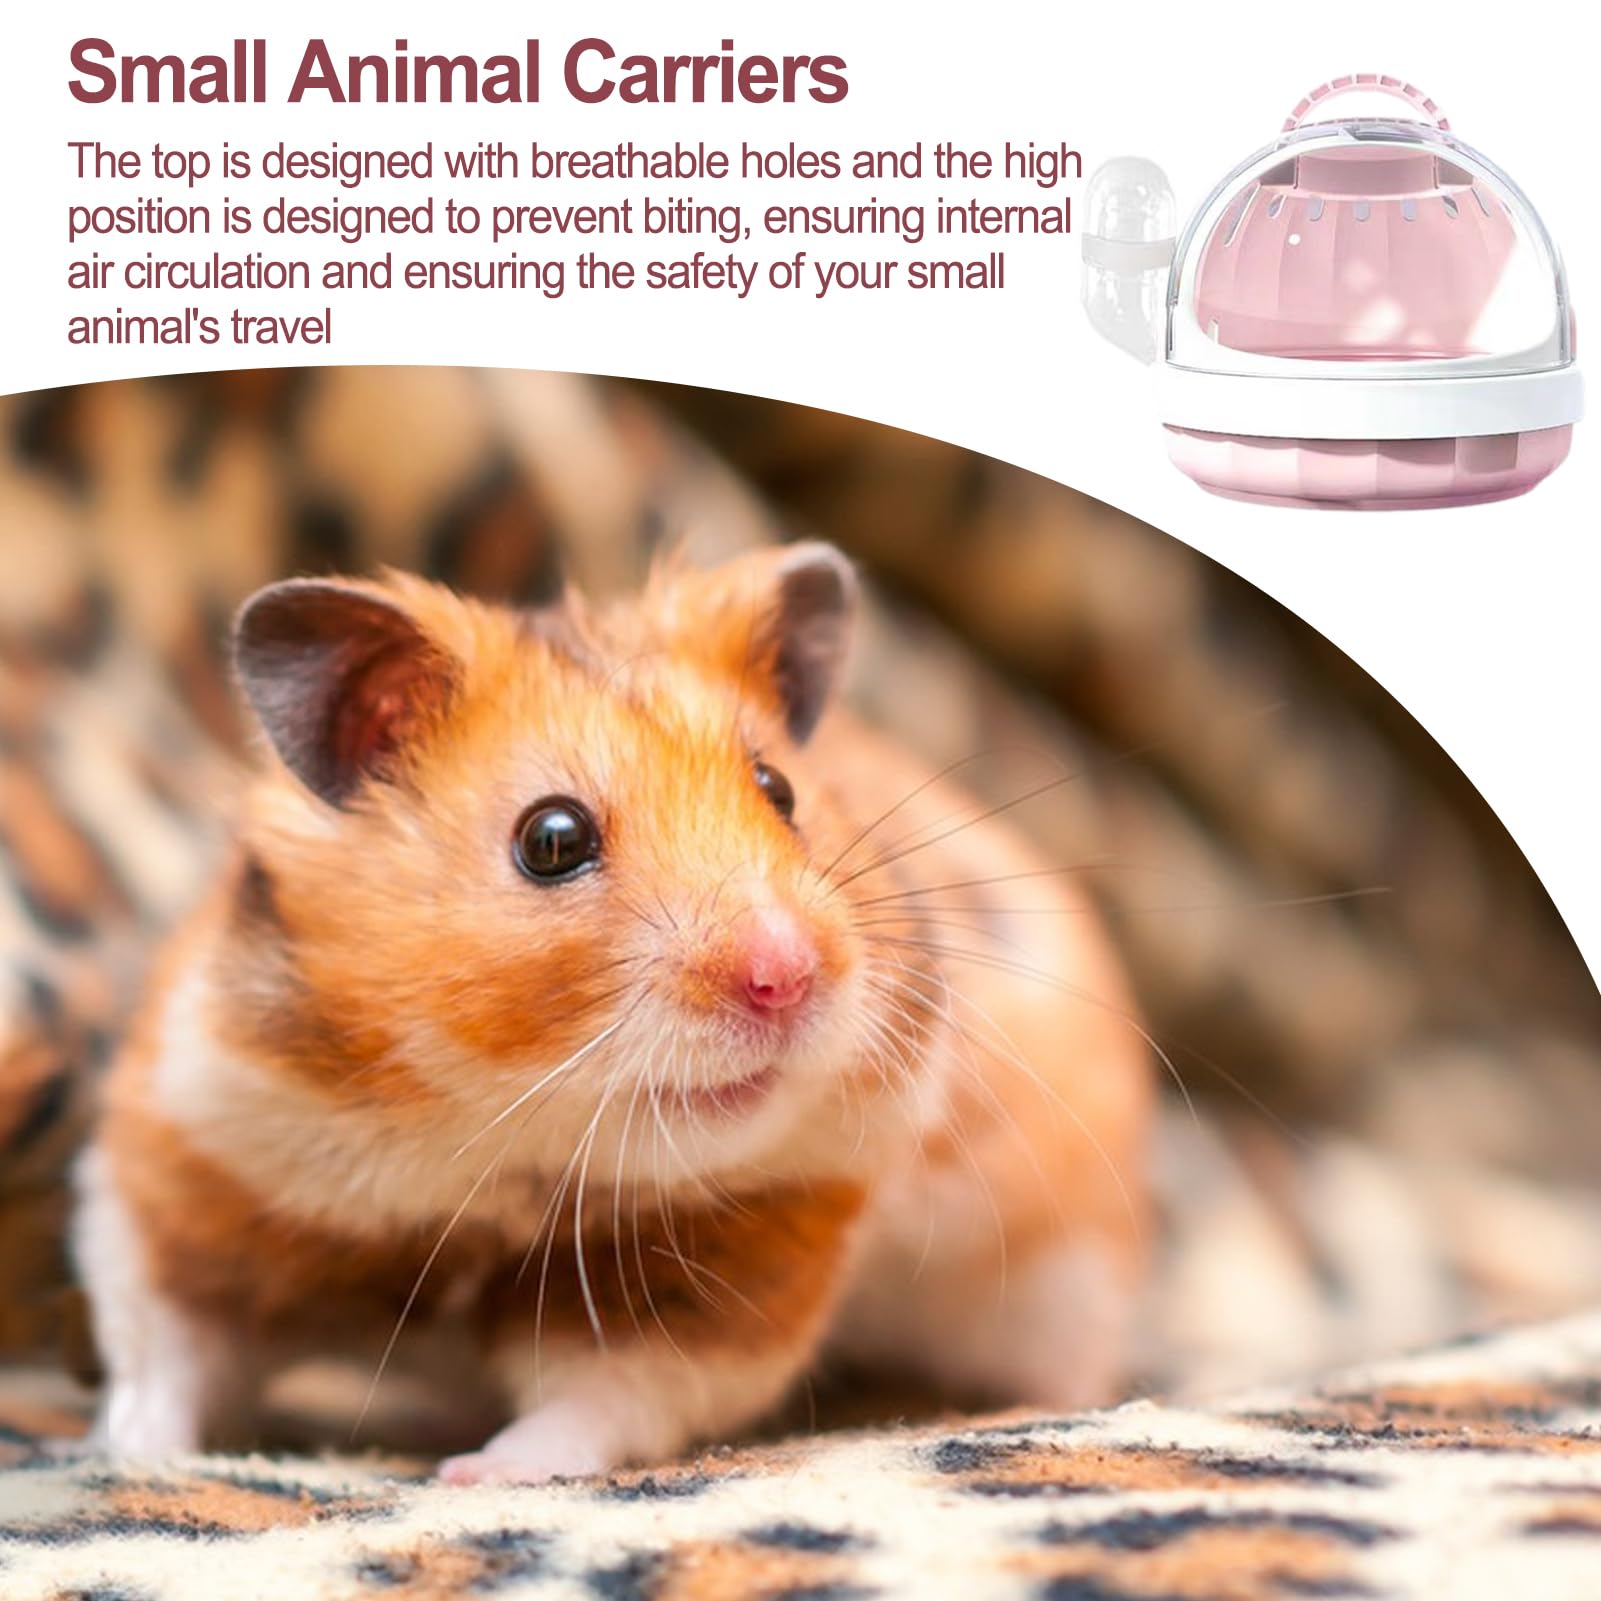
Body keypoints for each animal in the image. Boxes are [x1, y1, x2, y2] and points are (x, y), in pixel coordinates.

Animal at [73, 542, 1151, 1482]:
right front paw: (129, 1453)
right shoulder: (179, 1167)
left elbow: (599, 1397)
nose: (787, 975)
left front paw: (478, 1475)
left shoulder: (736, 1266)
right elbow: (164, 1340)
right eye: (550, 838)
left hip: (1062, 1274)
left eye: (780, 790)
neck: (495, 1145)